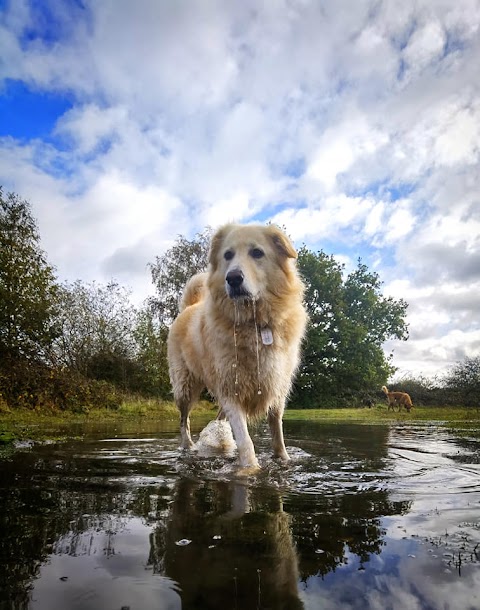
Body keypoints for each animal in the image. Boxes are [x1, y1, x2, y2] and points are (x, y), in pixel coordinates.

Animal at [167, 222, 308, 466]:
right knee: (183, 422)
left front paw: (283, 459)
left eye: (257, 253)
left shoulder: (276, 387)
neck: (256, 324)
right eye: (228, 255)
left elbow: (277, 433)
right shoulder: (230, 390)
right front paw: (250, 469)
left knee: (216, 418)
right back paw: (189, 448)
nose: (233, 278)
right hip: (185, 388)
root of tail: (188, 308)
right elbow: (245, 440)